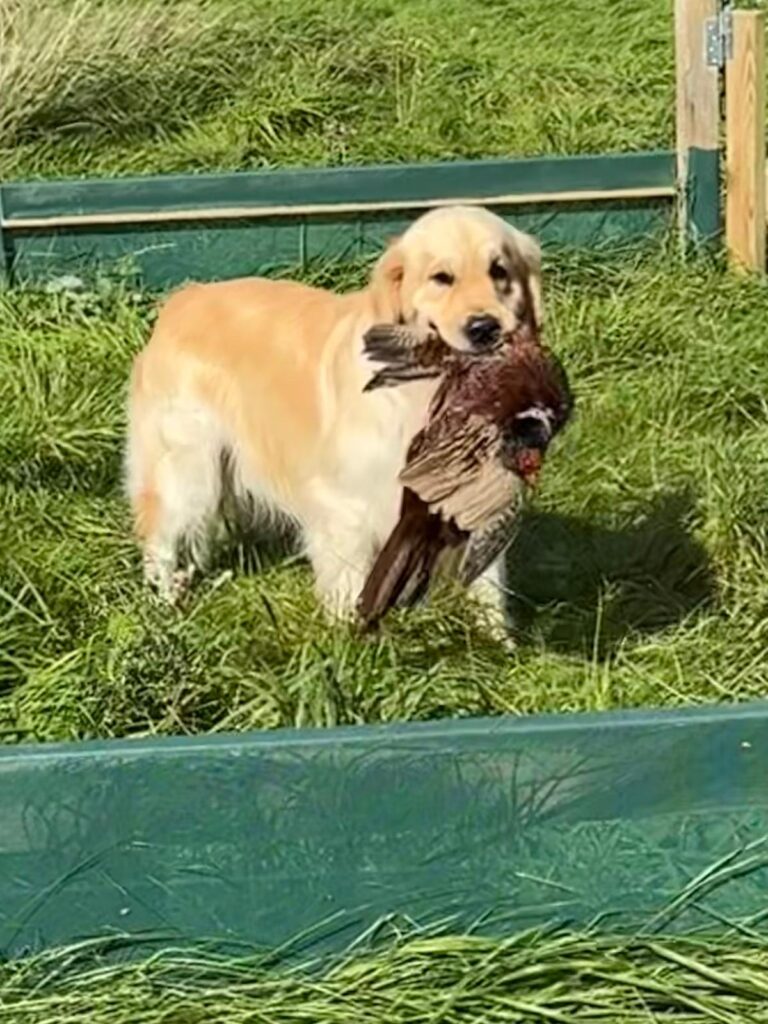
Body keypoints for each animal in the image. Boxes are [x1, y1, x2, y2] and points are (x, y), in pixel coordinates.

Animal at [126, 205, 544, 630]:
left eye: (499, 271)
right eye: (442, 277)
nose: (485, 328)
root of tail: (184, 297)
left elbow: (487, 584)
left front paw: (497, 640)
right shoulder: (346, 504)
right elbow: (351, 583)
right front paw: (351, 636)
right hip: (188, 469)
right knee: (160, 536)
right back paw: (164, 603)